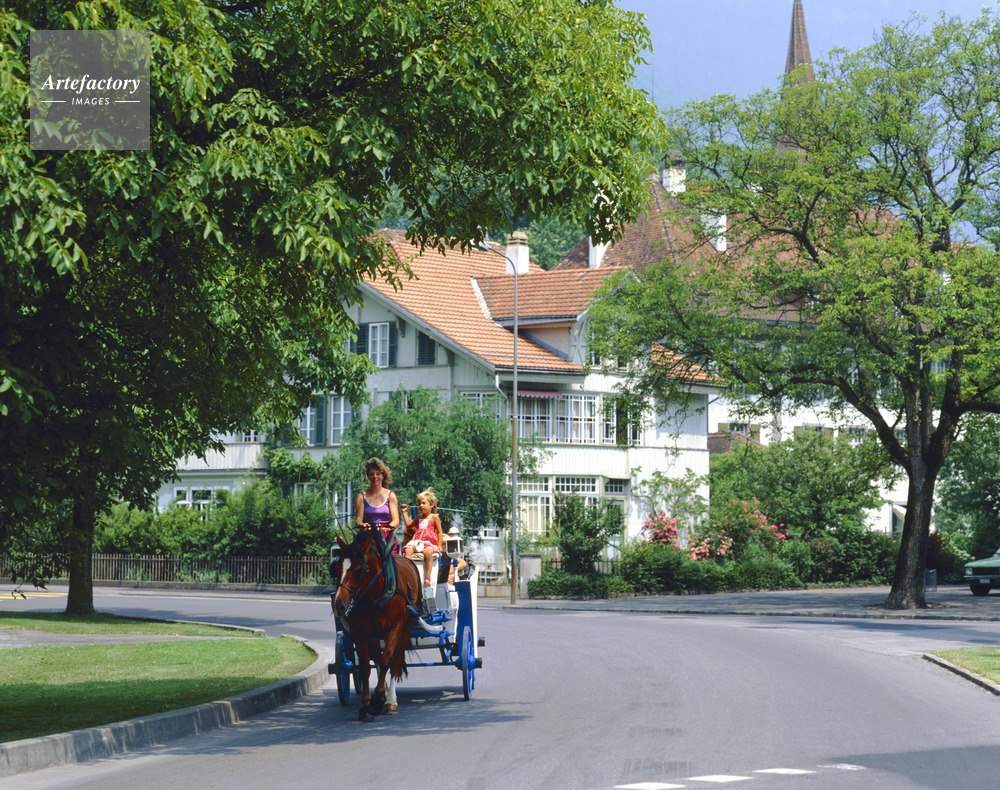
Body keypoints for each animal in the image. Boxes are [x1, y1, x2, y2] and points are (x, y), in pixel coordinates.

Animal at [331, 527, 423, 721]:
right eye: (336, 567)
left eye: (358, 570)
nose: (339, 606)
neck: (374, 594)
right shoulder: (360, 632)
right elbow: (366, 666)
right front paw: (366, 703)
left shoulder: (395, 628)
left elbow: (388, 659)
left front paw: (379, 699)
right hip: (375, 635)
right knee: (377, 659)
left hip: (406, 628)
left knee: (395, 660)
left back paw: (390, 700)